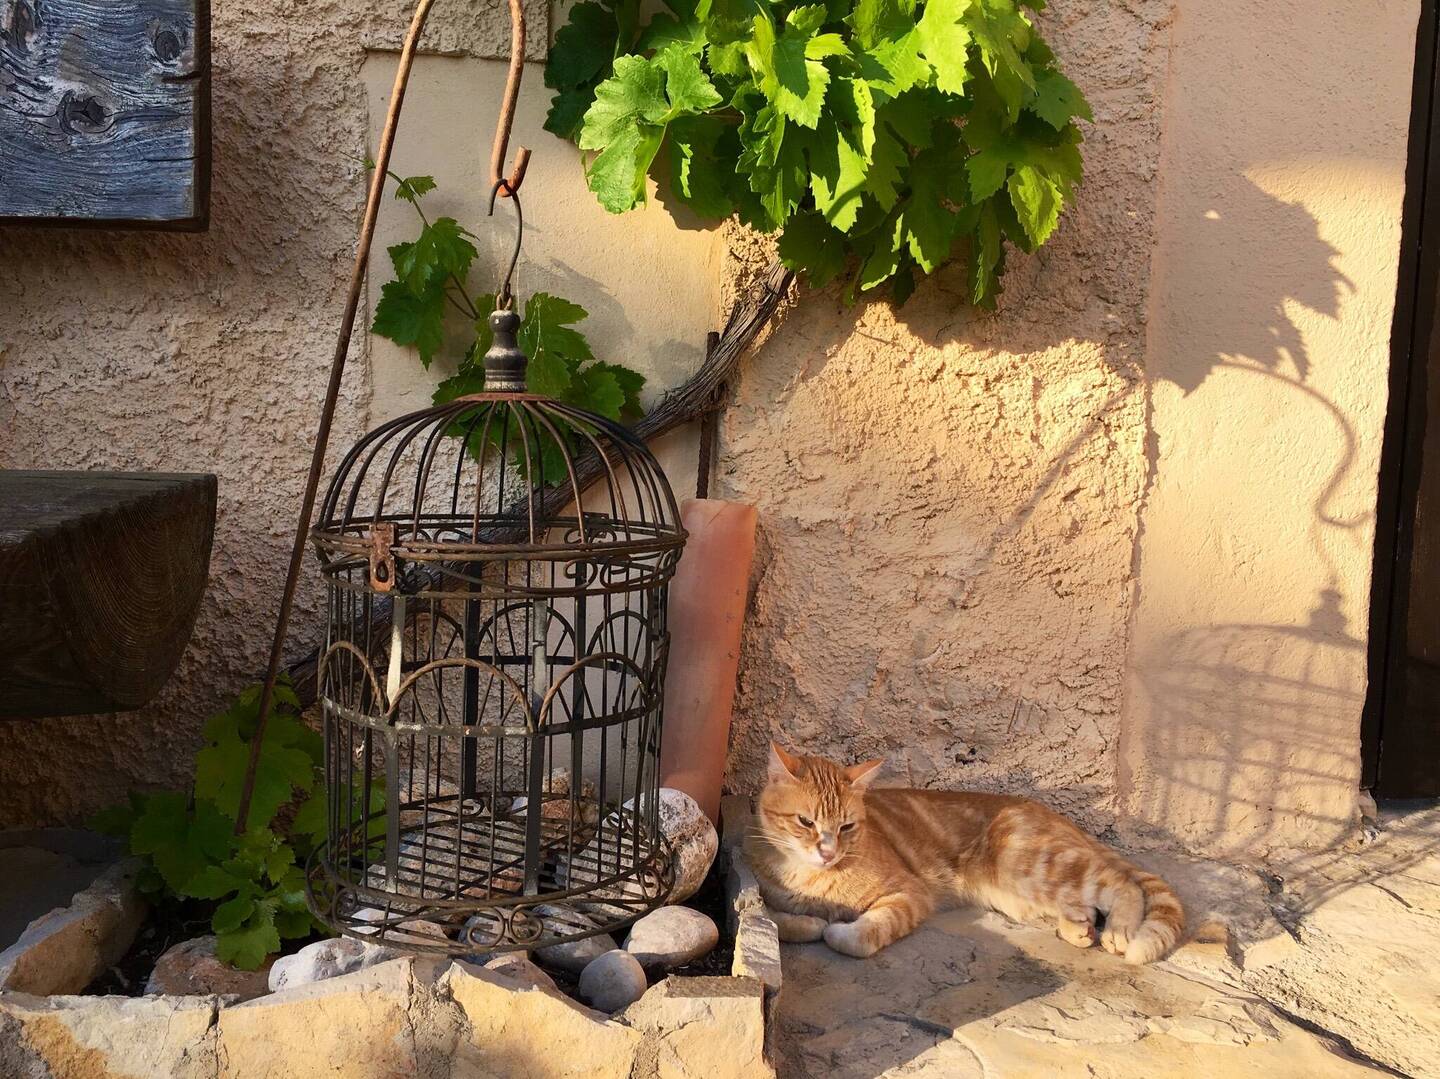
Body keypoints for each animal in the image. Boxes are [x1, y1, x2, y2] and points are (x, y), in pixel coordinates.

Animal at [746, 743, 1185, 965]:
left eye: (847, 827)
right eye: (806, 822)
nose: (827, 852)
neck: (810, 877)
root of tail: (1051, 813)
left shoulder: (909, 894)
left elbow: (858, 936)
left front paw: (835, 928)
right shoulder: (763, 894)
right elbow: (777, 923)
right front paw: (810, 922)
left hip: (1032, 865)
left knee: (1121, 883)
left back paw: (1119, 930)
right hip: (1026, 892)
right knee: (1084, 903)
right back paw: (1077, 928)